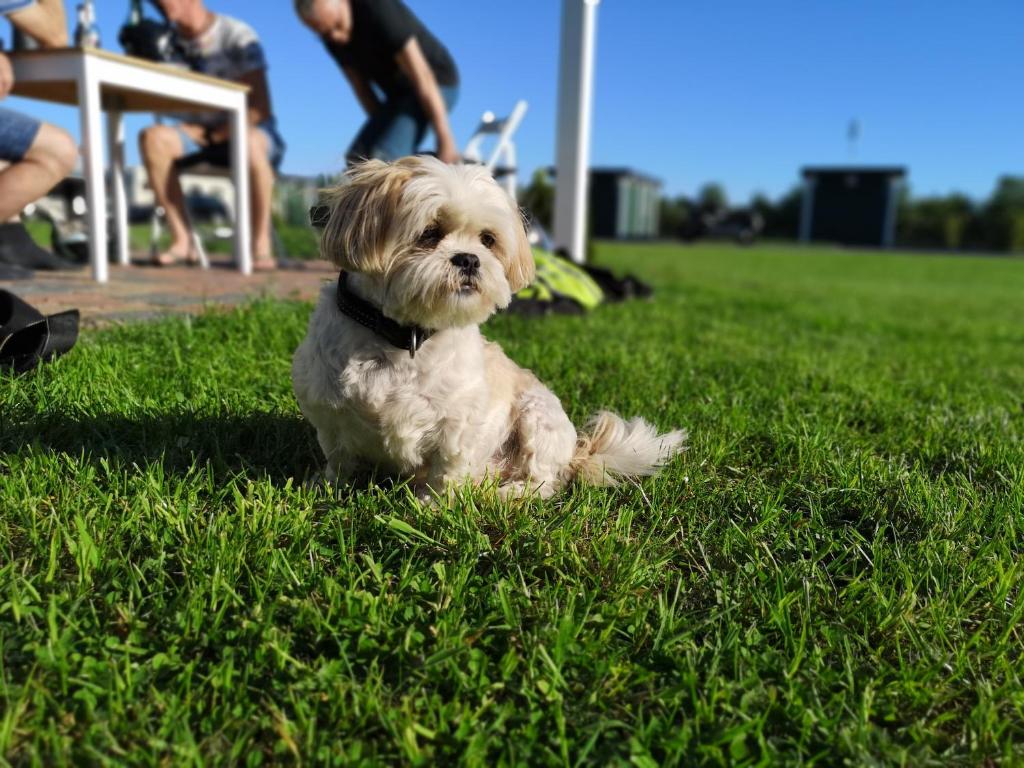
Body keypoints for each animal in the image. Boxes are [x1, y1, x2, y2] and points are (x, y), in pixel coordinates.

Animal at [292, 159, 684, 501]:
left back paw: (508, 494)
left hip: (538, 417)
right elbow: (339, 458)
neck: (402, 338)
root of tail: (576, 453)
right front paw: (325, 486)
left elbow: (445, 469)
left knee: (544, 482)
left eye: (487, 240)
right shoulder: (328, 415)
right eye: (429, 233)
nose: (469, 259)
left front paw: (431, 506)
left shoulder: (458, 424)